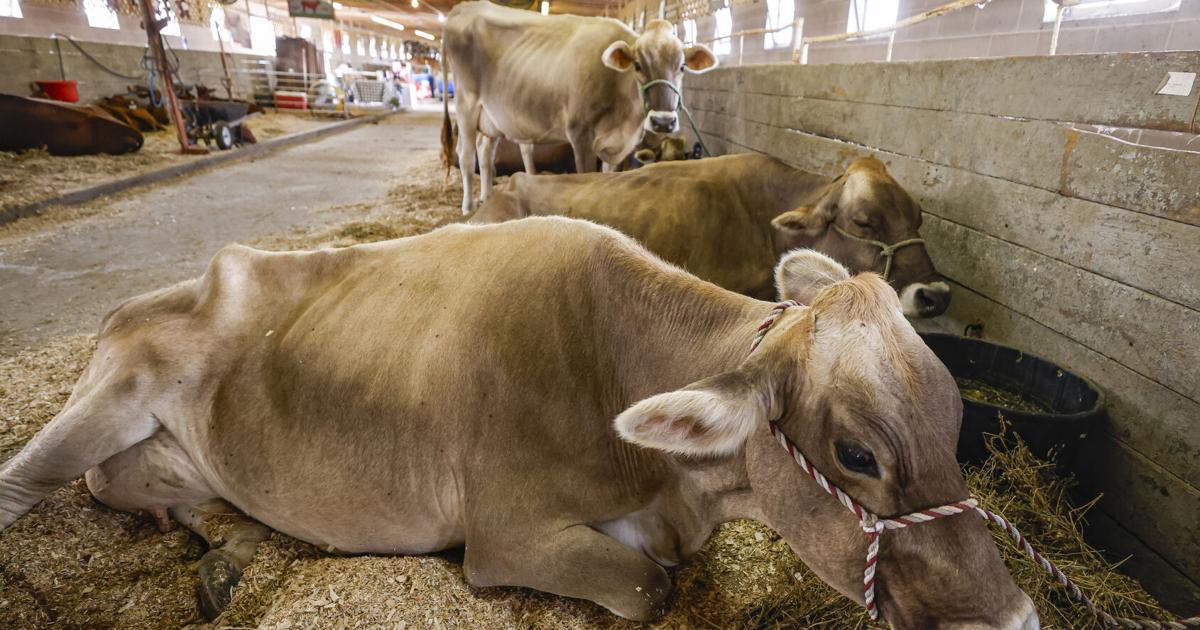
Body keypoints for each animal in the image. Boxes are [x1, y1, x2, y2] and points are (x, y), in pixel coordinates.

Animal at [0, 218, 1038, 628]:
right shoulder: (505, 535)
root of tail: (149, 298)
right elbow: (648, 586)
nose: (1017, 618)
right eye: (857, 453)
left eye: (956, 422)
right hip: (112, 394)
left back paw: (219, 544)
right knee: (29, 483)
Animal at [442, 1, 717, 214]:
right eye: (638, 65)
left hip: (492, 116)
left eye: (682, 67)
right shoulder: (580, 134)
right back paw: (468, 207)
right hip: (466, 103)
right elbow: (586, 178)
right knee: (466, 155)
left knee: (485, 152)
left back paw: (486, 197)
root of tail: (464, 8)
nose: (663, 121)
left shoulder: (615, 146)